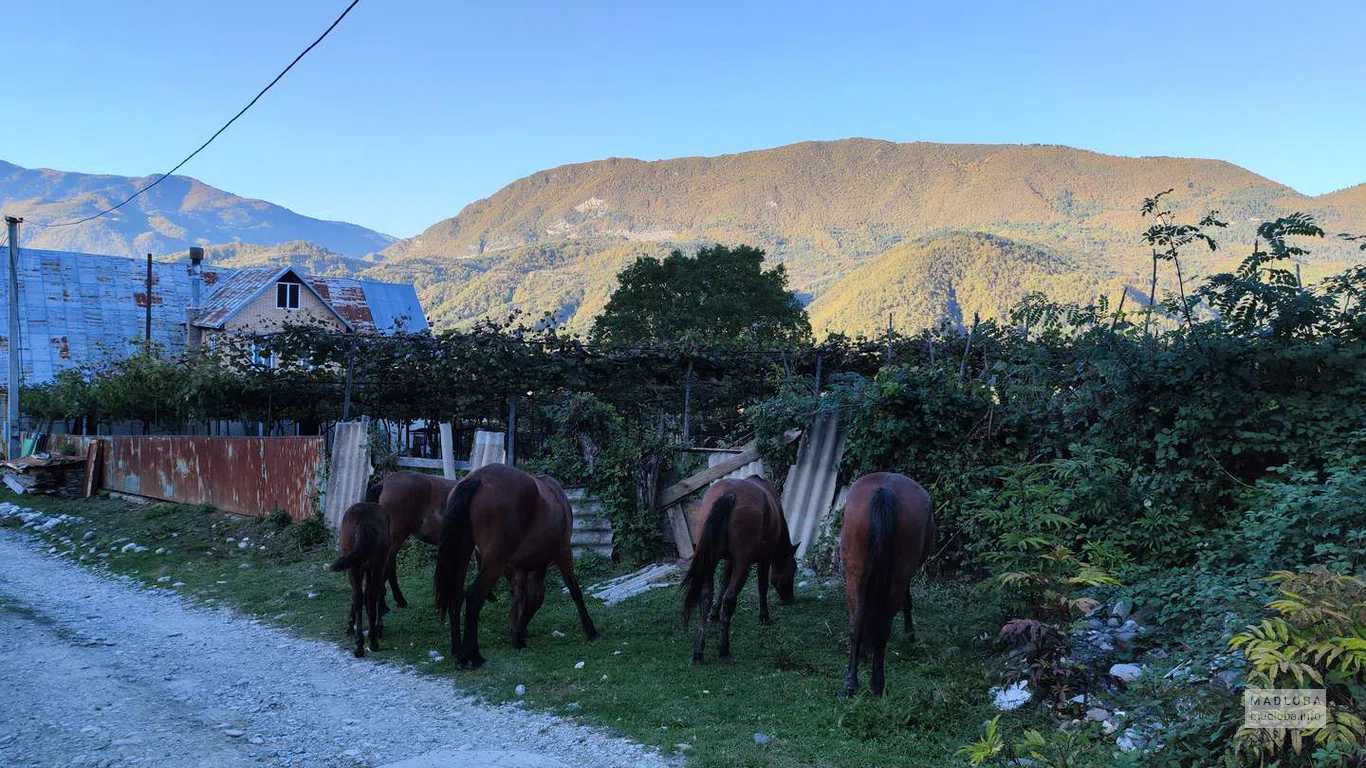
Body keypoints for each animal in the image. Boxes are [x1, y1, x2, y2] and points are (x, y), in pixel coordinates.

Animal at [329, 500, 393, 655]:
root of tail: (364, 522)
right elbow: (376, 593)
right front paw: (376, 626)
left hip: (354, 565)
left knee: (358, 595)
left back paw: (359, 644)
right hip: (377, 564)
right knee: (370, 594)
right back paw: (372, 640)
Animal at [431, 459, 592, 664]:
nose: (517, 635)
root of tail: (477, 478)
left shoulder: (521, 567)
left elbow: (522, 597)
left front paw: (517, 633)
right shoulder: (563, 552)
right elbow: (572, 591)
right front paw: (590, 630)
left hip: (464, 549)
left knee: (456, 595)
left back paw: (458, 653)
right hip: (495, 559)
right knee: (474, 596)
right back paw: (474, 656)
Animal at [683, 472, 797, 664]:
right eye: (794, 570)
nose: (791, 599)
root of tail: (730, 494)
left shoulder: (730, 560)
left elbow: (723, 583)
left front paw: (714, 613)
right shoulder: (764, 558)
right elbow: (762, 586)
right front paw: (764, 616)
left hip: (710, 559)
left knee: (705, 595)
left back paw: (698, 651)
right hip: (743, 563)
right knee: (730, 599)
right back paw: (723, 648)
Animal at [835, 470, 934, 696]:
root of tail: (885, 491)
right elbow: (908, 600)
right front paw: (910, 632)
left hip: (855, 572)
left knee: (857, 620)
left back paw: (850, 683)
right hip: (897, 577)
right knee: (882, 624)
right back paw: (877, 683)